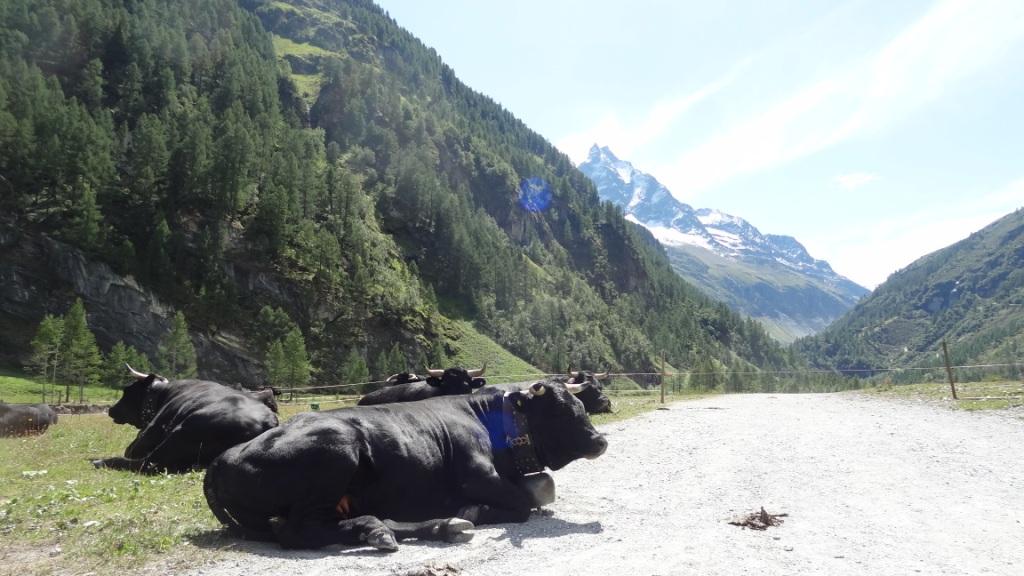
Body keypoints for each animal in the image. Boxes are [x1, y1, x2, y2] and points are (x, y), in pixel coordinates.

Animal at [92, 365, 279, 473]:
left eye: (126, 390)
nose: (111, 410)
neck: (164, 393)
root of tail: (267, 422)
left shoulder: (147, 435)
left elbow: (130, 450)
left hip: (180, 432)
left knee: (146, 464)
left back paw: (102, 461)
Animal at [203, 380, 607, 551]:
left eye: (581, 404)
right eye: (562, 410)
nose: (601, 440)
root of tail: (222, 459)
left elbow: (538, 492)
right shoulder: (476, 474)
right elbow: (523, 504)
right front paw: (474, 509)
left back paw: (435, 526)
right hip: (337, 448)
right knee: (299, 532)